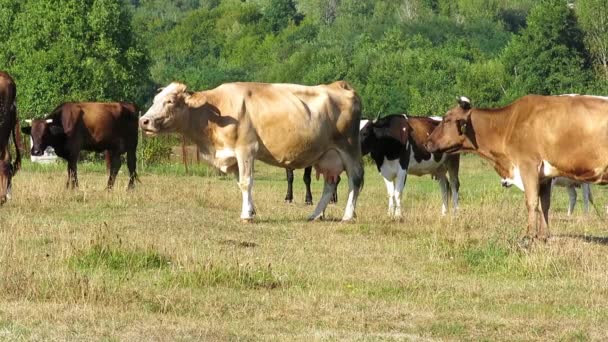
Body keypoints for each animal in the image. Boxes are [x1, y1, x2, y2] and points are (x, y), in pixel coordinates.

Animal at [140, 81, 364, 222]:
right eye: (155, 100)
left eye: (170, 101)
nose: (144, 121)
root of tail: (339, 85)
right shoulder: (232, 156)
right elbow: (240, 183)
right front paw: (251, 210)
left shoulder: (246, 149)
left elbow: (246, 182)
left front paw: (246, 216)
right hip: (327, 155)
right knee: (330, 184)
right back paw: (315, 215)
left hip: (349, 148)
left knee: (355, 180)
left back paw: (347, 216)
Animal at [426, 93, 608, 243]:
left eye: (446, 120)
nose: (427, 143)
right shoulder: (545, 176)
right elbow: (544, 204)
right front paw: (544, 236)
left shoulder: (528, 165)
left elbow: (531, 202)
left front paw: (529, 236)